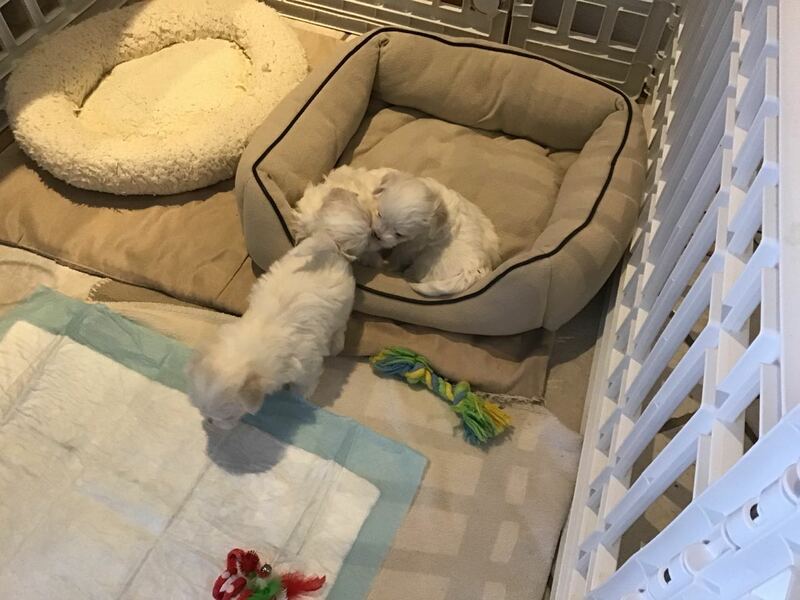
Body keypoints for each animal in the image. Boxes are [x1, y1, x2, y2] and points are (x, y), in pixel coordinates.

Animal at [187, 188, 369, 429]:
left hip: (344, 304)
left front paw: (300, 397)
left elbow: (305, 382)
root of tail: (330, 240)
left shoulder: (307, 363)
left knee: (340, 325)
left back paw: (337, 344)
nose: (208, 421)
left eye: (226, 417)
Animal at [372, 171, 501, 296]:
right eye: (379, 214)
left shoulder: (412, 245)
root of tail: (473, 270)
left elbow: (398, 256)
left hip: (427, 263)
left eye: (399, 234)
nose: (377, 235)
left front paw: (388, 265)